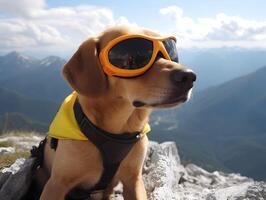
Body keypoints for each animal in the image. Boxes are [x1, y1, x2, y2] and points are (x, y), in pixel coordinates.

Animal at [34, 25, 195, 199]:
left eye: (171, 53)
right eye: (131, 57)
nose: (189, 76)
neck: (118, 129)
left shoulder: (134, 180)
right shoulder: (56, 184)